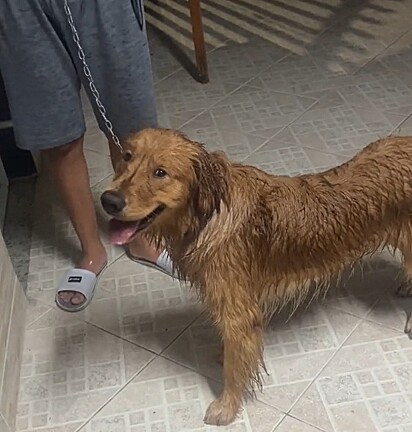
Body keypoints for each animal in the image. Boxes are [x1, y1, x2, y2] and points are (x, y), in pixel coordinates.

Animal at [101, 128, 412, 426]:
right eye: (126, 156)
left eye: (160, 172)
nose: (108, 200)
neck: (208, 214)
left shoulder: (239, 312)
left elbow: (235, 368)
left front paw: (226, 407)